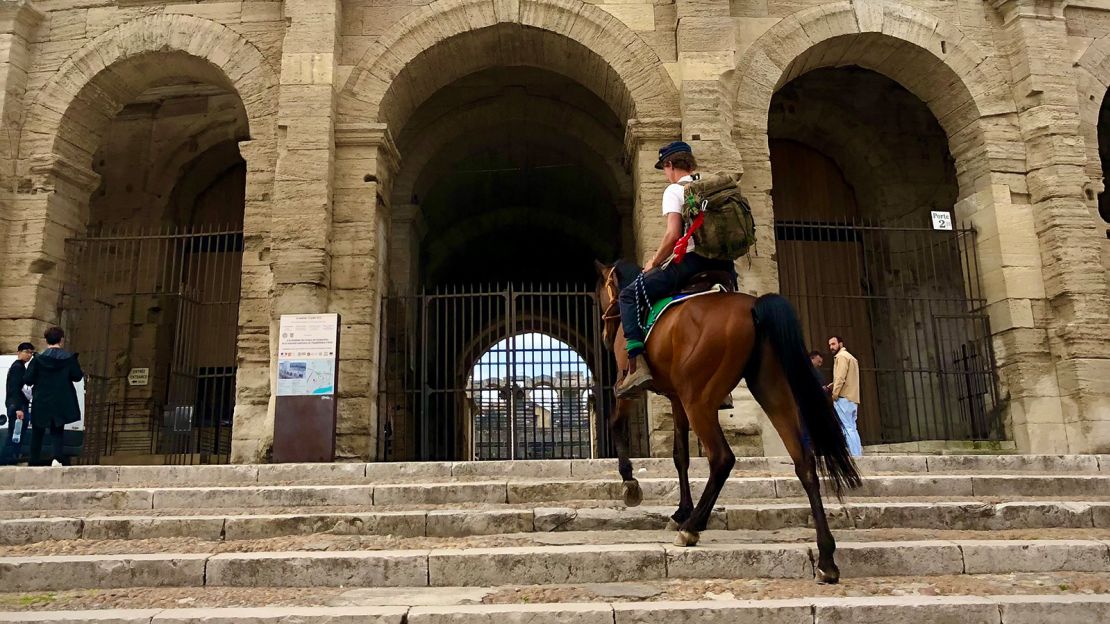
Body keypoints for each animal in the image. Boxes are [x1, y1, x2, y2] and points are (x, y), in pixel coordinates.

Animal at [594, 257, 861, 581]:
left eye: (600, 292)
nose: (605, 337)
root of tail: (753, 306)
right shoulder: (675, 397)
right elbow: (680, 455)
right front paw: (681, 510)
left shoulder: (629, 388)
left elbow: (615, 424)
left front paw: (630, 482)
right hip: (771, 389)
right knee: (804, 461)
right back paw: (826, 558)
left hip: (699, 400)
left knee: (722, 458)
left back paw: (692, 528)